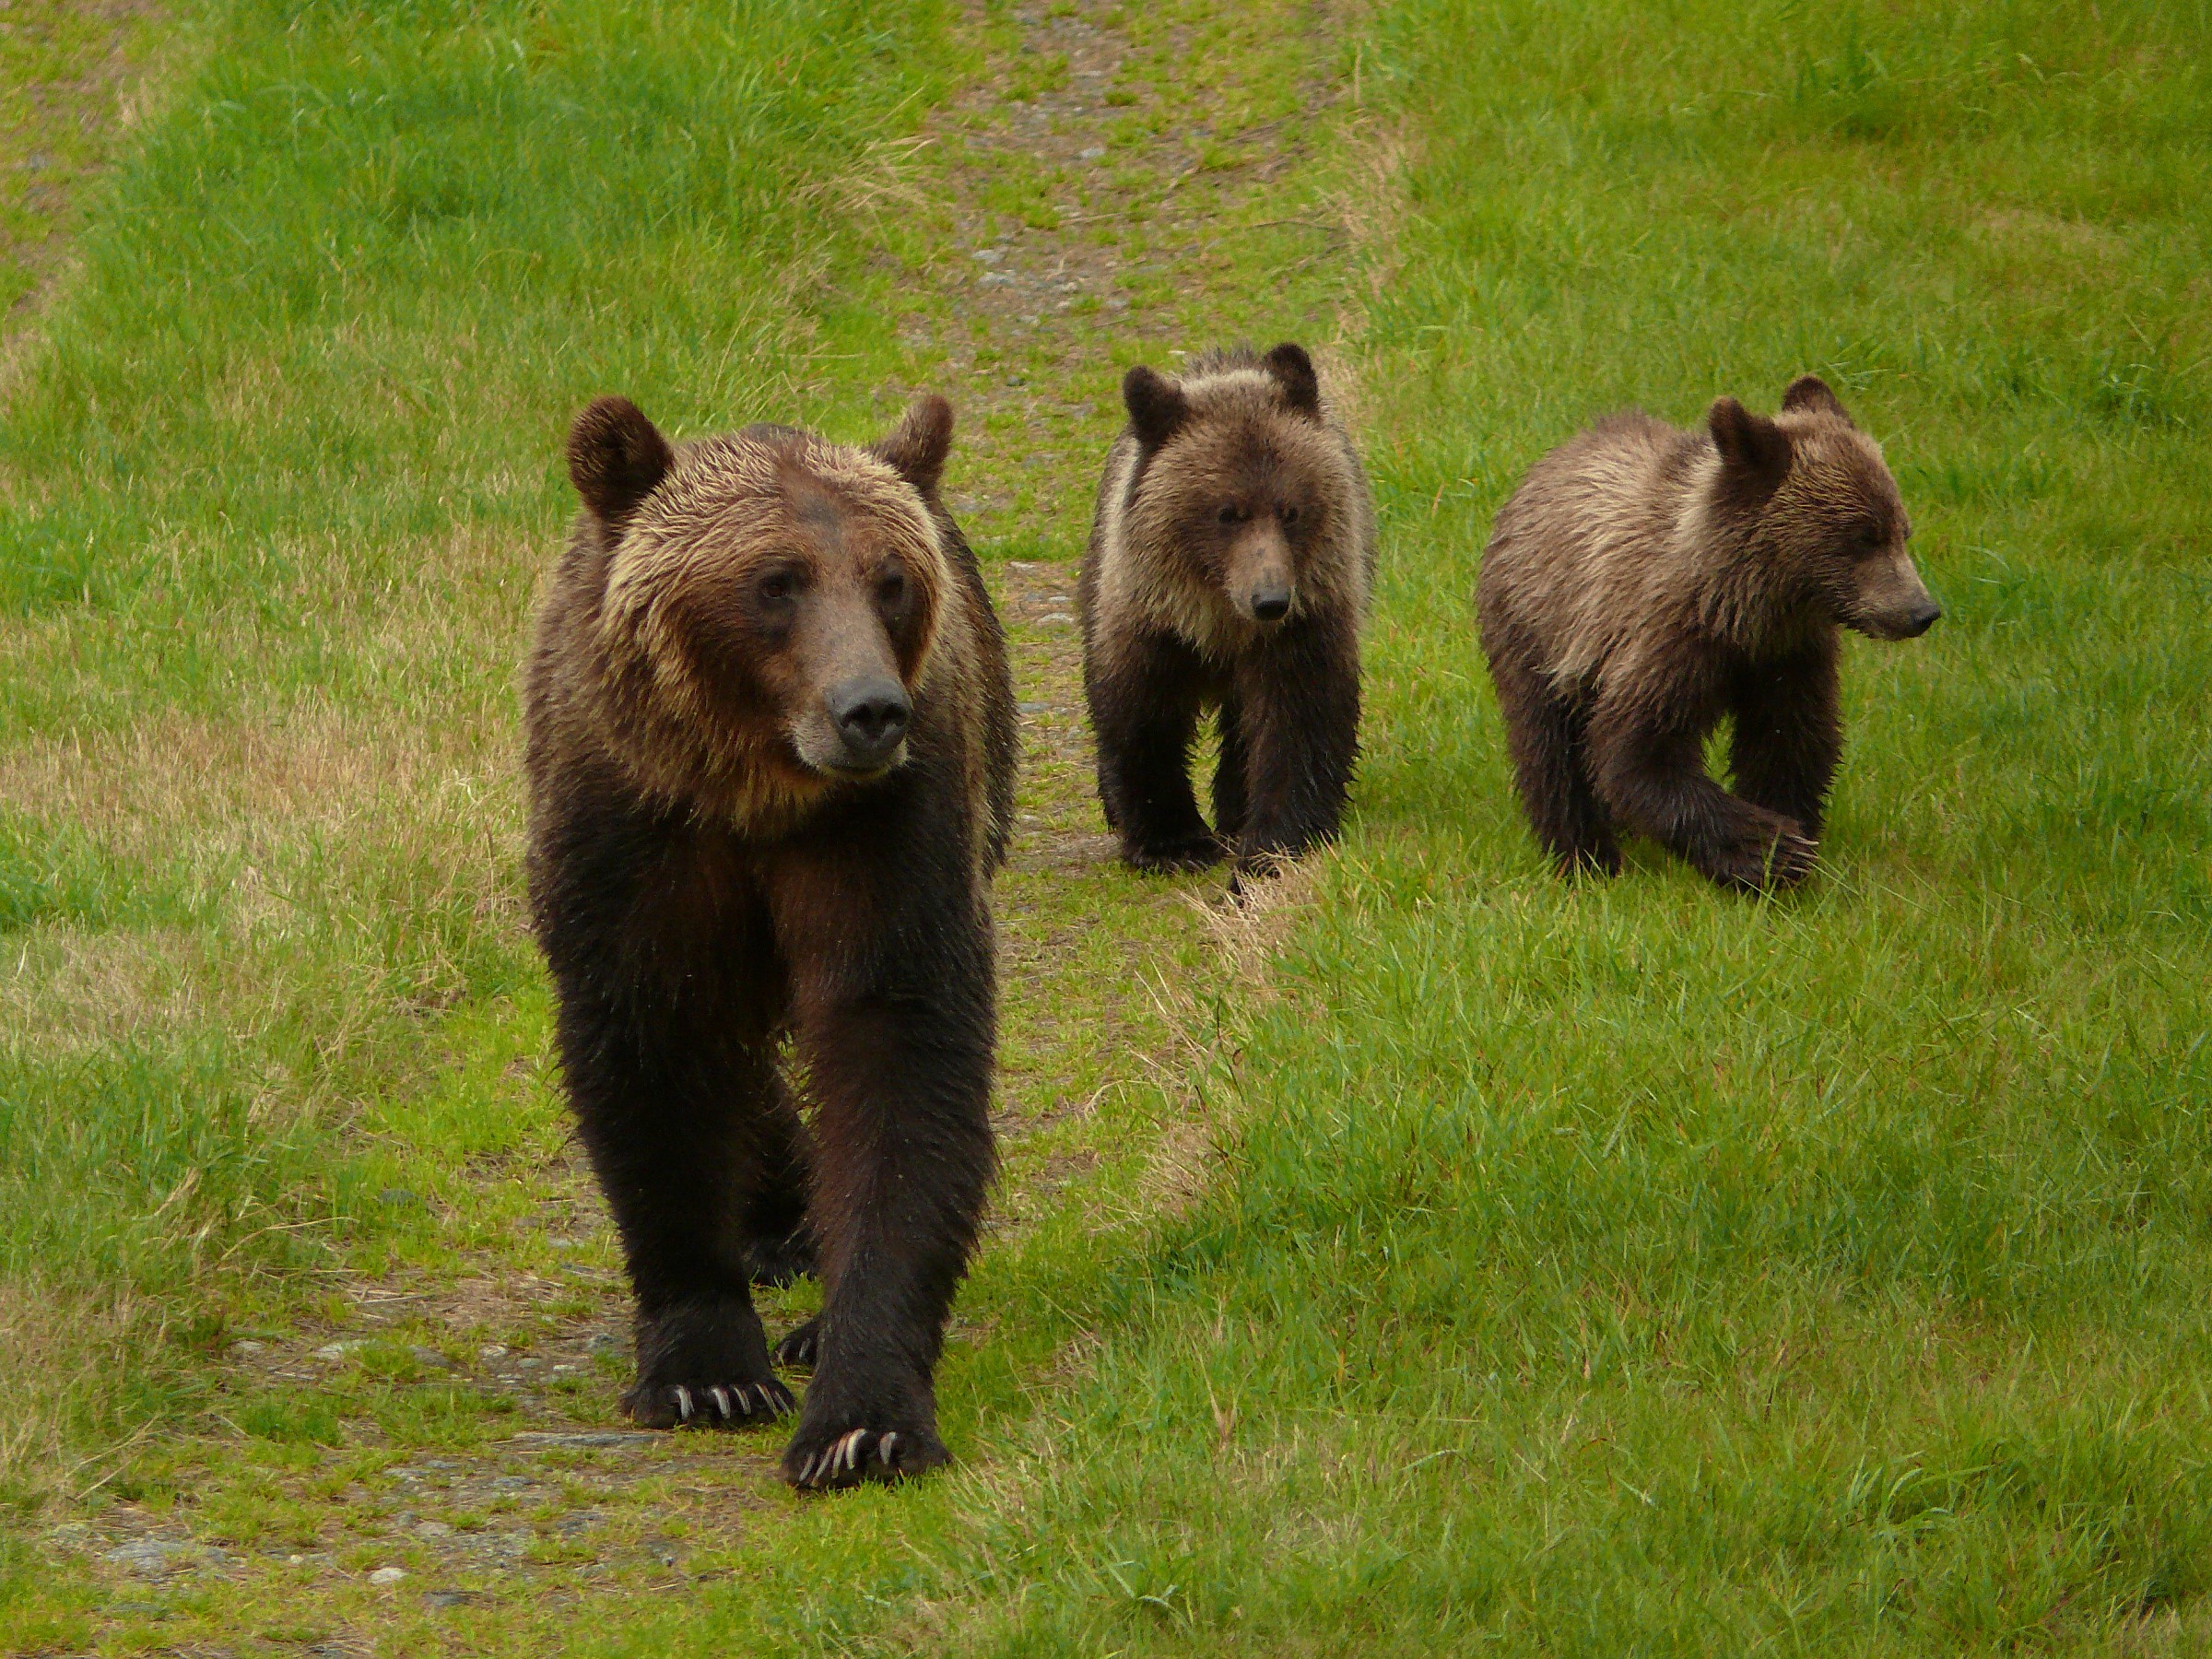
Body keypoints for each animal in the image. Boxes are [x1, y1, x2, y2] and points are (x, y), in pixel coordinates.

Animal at [522, 391, 1017, 1490]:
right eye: (774, 581)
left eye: (890, 580)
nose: (870, 710)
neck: (755, 788)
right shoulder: (634, 830)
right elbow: (651, 1051)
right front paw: (707, 1368)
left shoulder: (887, 830)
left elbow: (896, 1057)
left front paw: (860, 1415)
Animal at [1078, 342, 1377, 880]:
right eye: (1226, 512)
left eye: (1290, 510)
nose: (1271, 600)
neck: (1219, 622)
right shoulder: (1148, 623)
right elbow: (1141, 716)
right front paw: (1171, 841)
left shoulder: (1305, 627)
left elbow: (1298, 726)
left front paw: (1273, 844)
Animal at [1475, 375, 1941, 891]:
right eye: (1863, 536)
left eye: (1902, 531)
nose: (1921, 611)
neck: (1741, 610)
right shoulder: (1665, 644)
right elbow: (1640, 756)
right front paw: (1772, 851)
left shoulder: (1790, 658)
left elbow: (1790, 744)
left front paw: (1790, 850)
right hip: (1538, 629)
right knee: (1548, 746)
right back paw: (1583, 857)